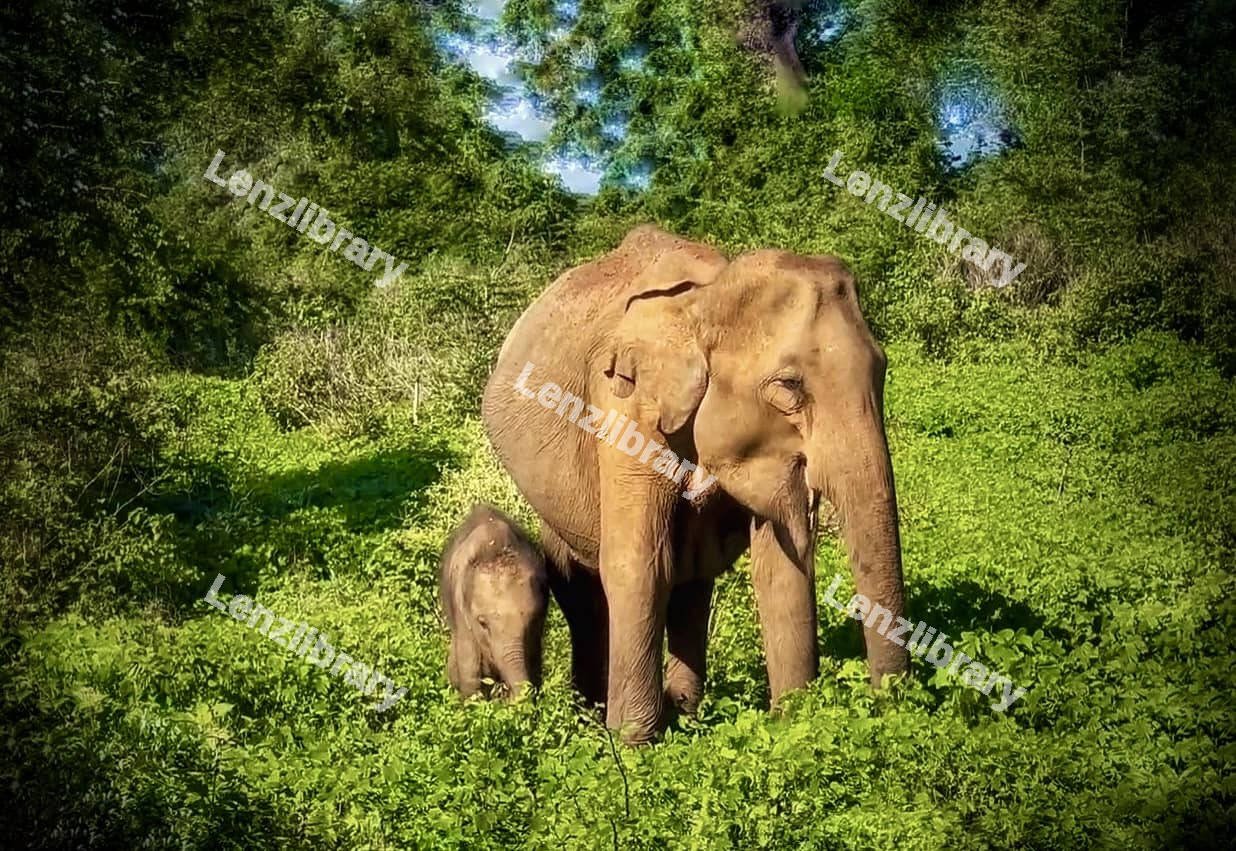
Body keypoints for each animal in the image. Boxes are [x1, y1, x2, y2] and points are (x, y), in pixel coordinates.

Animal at [481, 225, 910, 742]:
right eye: (789, 386)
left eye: (883, 369)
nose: (888, 702)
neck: (706, 299)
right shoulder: (624, 403)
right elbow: (638, 563)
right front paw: (633, 744)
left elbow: (779, 566)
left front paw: (791, 724)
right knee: (582, 584)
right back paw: (593, 716)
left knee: (691, 579)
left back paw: (686, 712)